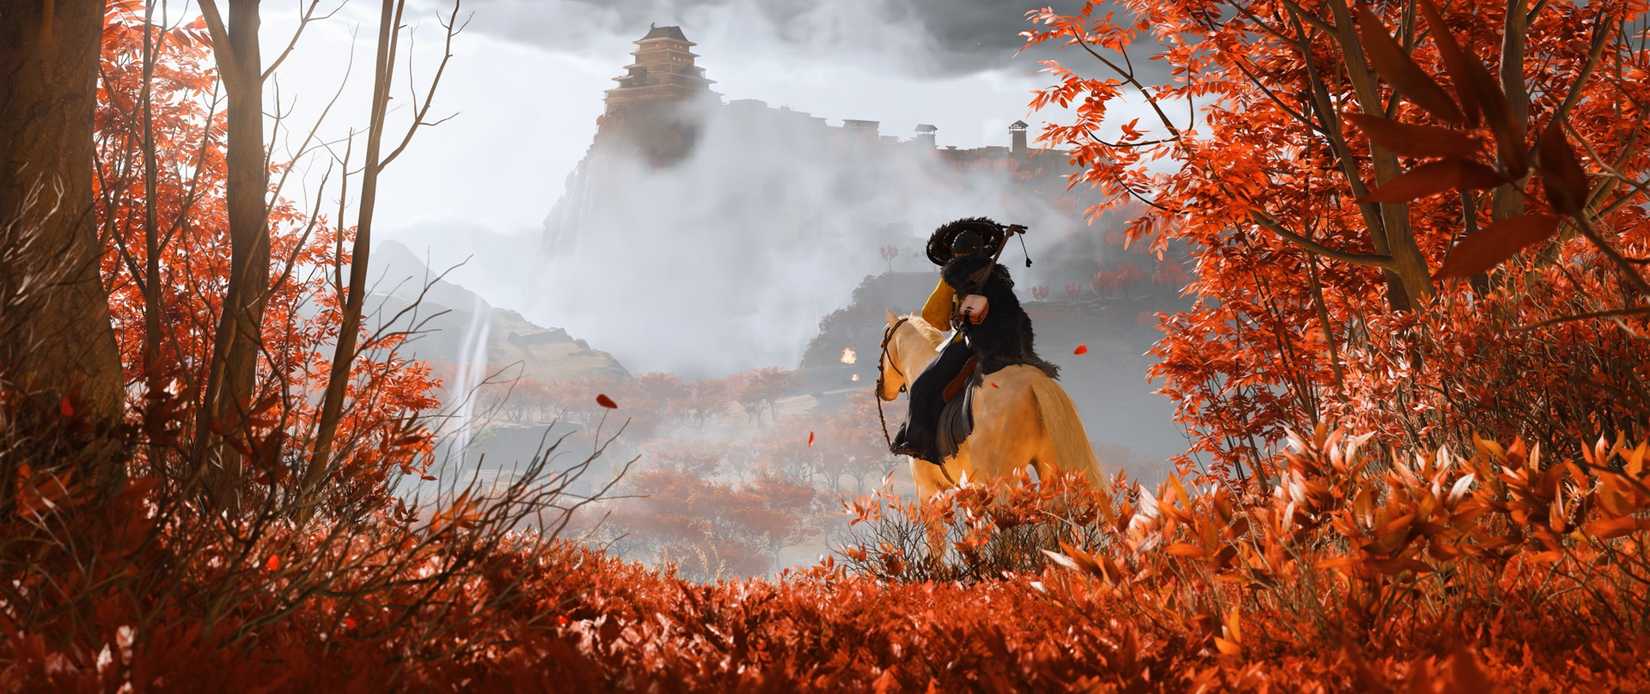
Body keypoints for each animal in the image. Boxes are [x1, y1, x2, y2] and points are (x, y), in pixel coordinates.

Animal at [876, 310, 1101, 551]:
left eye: (883, 343)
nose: (882, 388)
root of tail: (1033, 383)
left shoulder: (928, 491)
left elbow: (936, 545)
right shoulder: (968, 492)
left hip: (1001, 487)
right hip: (1051, 474)